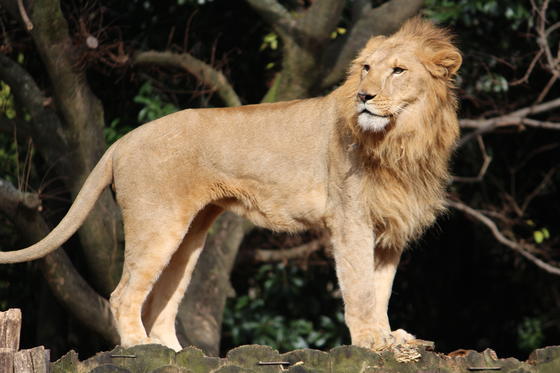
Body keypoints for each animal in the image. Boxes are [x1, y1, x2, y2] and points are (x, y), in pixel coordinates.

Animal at [1, 18, 460, 352]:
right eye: (366, 69)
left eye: (398, 71)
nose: (364, 96)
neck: (402, 141)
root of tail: (123, 140)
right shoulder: (351, 221)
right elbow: (361, 288)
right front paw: (369, 341)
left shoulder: (389, 229)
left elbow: (381, 289)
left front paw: (389, 337)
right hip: (157, 225)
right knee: (123, 294)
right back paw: (137, 347)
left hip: (189, 237)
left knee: (163, 301)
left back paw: (173, 352)